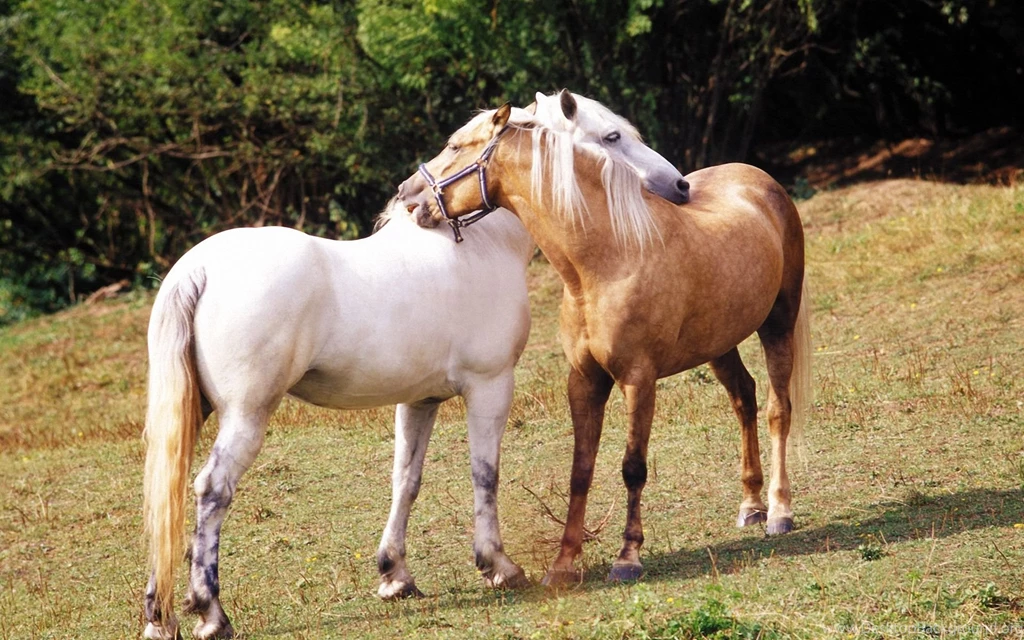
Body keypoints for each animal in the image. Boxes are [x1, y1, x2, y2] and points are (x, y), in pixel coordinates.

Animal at [397, 91, 811, 586]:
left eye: (456, 146)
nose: (408, 196)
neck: (607, 258)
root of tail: (758, 179)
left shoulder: (638, 380)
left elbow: (633, 467)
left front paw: (628, 557)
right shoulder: (584, 381)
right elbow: (581, 470)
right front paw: (563, 564)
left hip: (778, 324)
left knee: (777, 410)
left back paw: (779, 512)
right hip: (719, 342)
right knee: (743, 398)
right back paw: (750, 506)